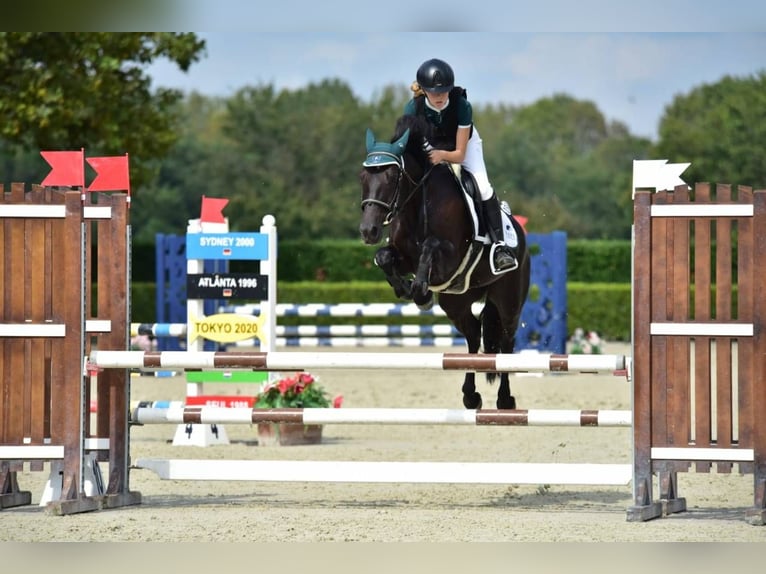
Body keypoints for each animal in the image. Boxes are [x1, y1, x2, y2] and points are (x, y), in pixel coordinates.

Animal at [362, 113, 536, 410]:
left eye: (392, 176)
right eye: (362, 176)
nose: (368, 231)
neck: (417, 204)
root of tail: (519, 231)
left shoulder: (450, 260)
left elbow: (430, 246)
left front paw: (420, 293)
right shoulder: (403, 256)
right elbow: (384, 257)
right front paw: (405, 289)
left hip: (509, 300)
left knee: (506, 342)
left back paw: (504, 399)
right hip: (456, 302)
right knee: (473, 335)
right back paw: (470, 395)